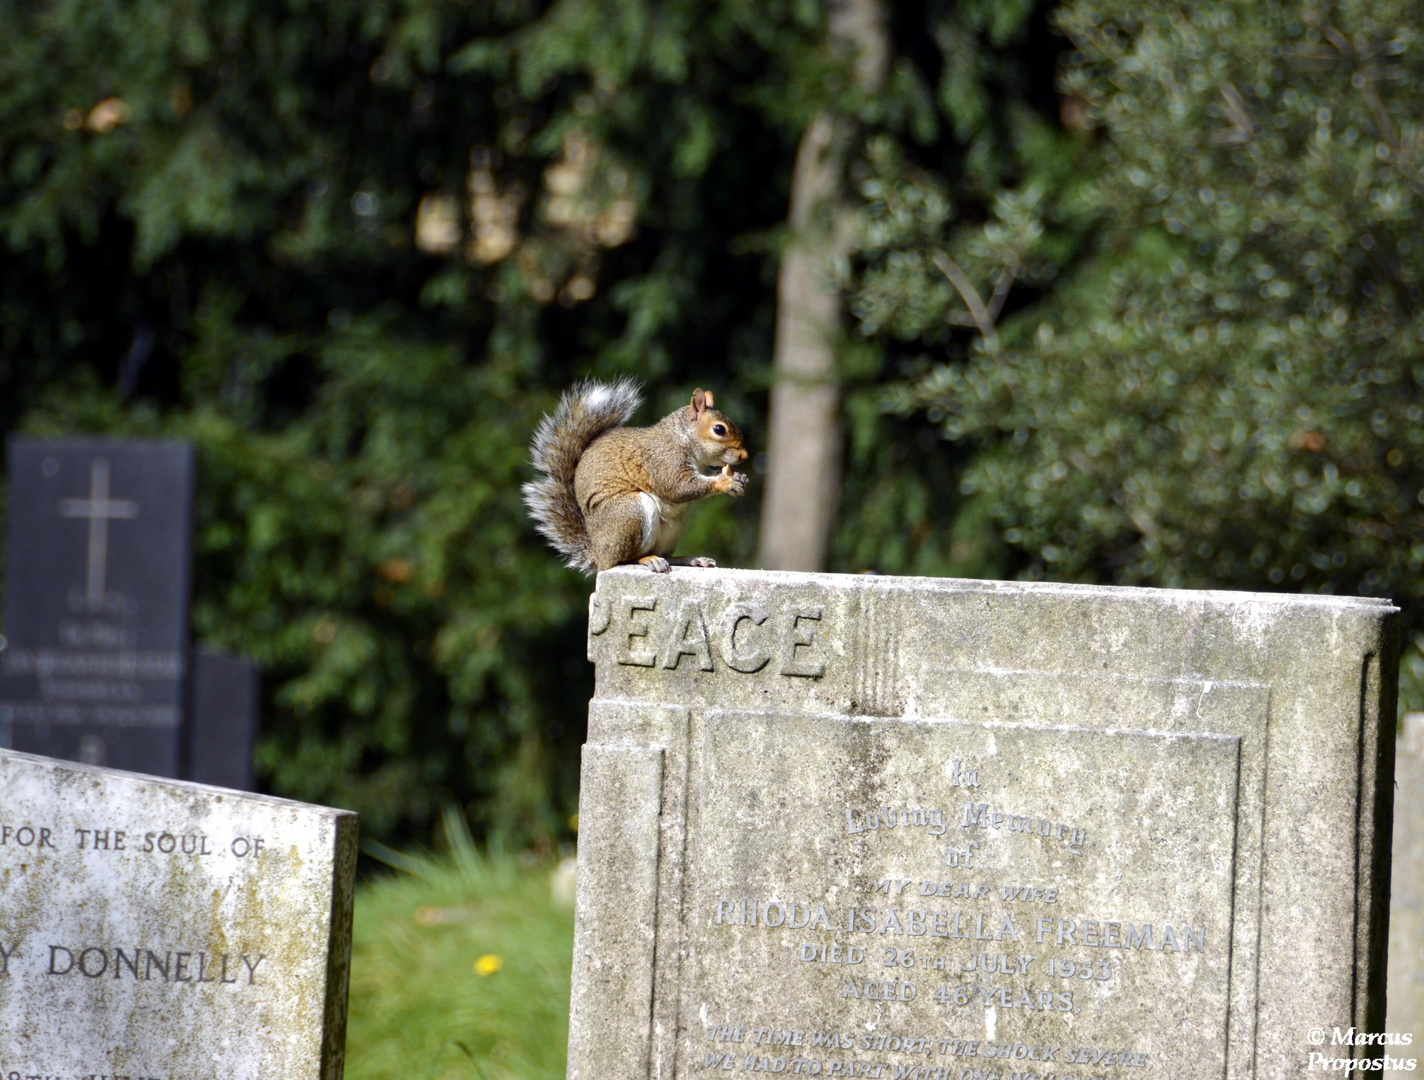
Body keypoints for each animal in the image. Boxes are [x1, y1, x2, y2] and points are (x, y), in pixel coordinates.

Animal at [521, 384, 746, 578]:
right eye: (719, 430)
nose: (744, 456)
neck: (681, 437)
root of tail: (600, 554)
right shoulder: (663, 460)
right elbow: (678, 487)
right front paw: (725, 482)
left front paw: (739, 476)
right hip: (631, 512)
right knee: (626, 559)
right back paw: (647, 559)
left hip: (675, 526)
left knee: (665, 554)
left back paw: (689, 559)